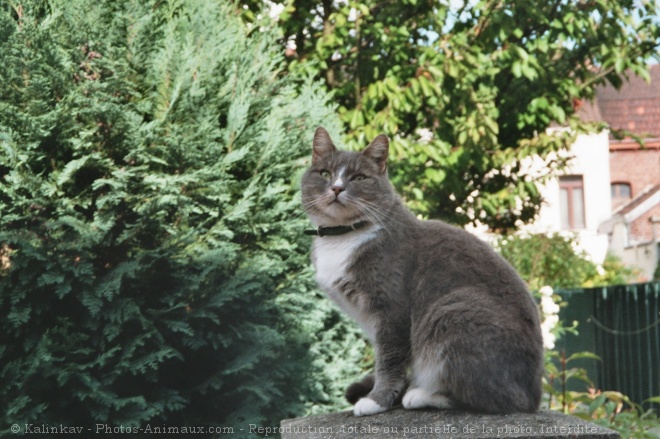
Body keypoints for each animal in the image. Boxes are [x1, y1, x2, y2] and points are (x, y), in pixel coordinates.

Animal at [302, 126, 544, 416]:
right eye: (325, 173)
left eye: (359, 177)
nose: (337, 188)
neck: (344, 236)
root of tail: (536, 395)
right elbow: (389, 359)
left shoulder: (392, 308)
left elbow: (389, 360)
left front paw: (376, 400)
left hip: (452, 310)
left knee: (497, 399)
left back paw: (421, 395)